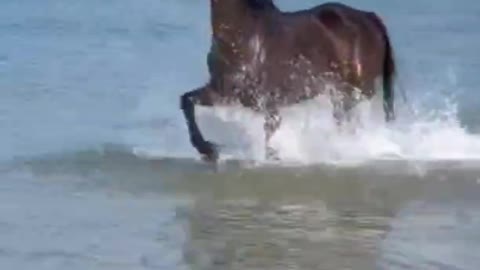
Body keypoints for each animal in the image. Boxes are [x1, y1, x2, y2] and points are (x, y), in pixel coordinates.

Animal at [178, 0, 396, 162]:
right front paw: (207, 150)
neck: (244, 36)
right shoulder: (223, 92)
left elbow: (270, 130)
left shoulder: (265, 101)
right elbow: (186, 101)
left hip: (355, 90)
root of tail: (369, 17)